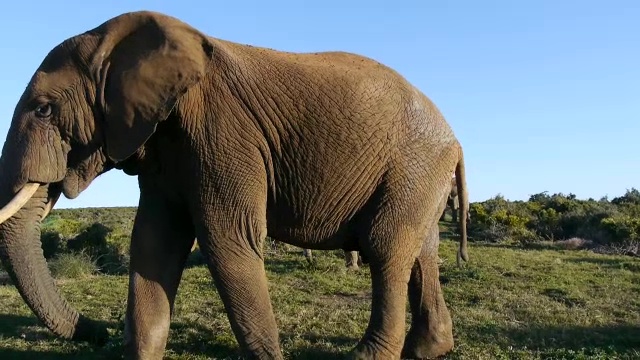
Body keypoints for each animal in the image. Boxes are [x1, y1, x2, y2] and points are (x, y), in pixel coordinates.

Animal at [0, 11, 470, 360]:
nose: (98, 332)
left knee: (385, 246)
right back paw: (429, 349)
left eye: (43, 110)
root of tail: (454, 137)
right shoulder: (165, 148)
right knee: (421, 249)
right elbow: (154, 243)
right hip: (421, 175)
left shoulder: (222, 131)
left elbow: (228, 241)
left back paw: (368, 355)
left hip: (413, 164)